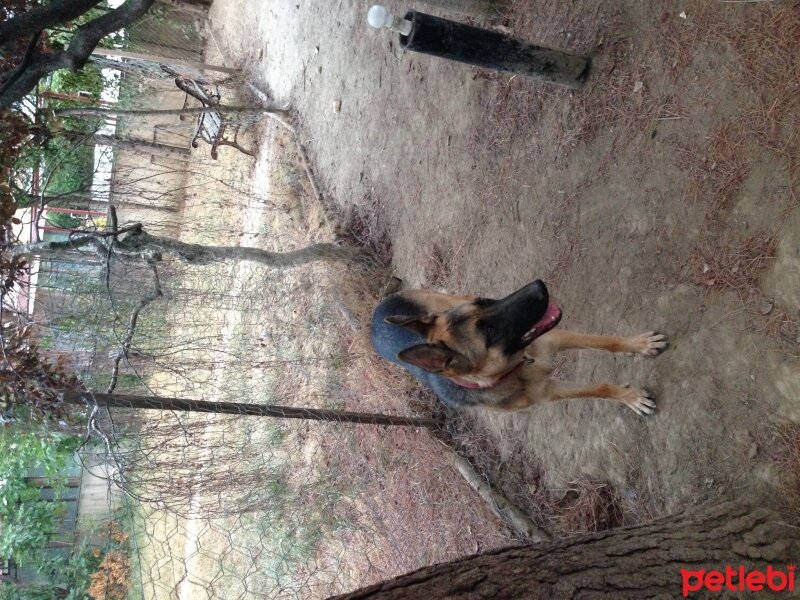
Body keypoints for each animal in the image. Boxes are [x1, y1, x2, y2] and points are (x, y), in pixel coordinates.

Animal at [374, 280, 668, 412]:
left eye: (484, 301)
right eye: (490, 331)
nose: (539, 285)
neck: (519, 364)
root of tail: (374, 319)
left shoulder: (555, 338)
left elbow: (608, 342)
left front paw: (639, 344)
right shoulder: (550, 392)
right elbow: (600, 388)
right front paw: (630, 397)